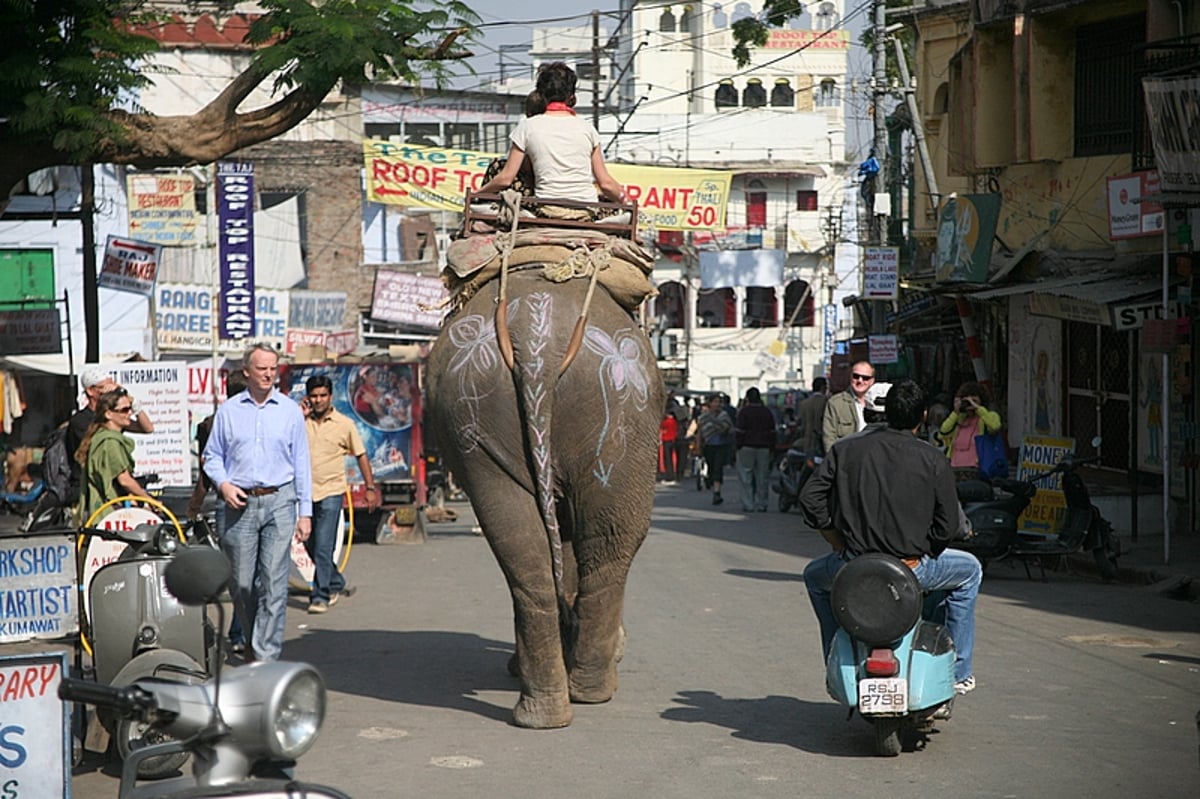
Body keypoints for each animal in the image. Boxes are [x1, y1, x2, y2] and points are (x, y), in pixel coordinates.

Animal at [424, 268, 667, 729]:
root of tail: (535, 337)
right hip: (626, 419)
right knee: (614, 542)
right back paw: (591, 691)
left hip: (480, 419)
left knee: (525, 547)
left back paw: (544, 712)